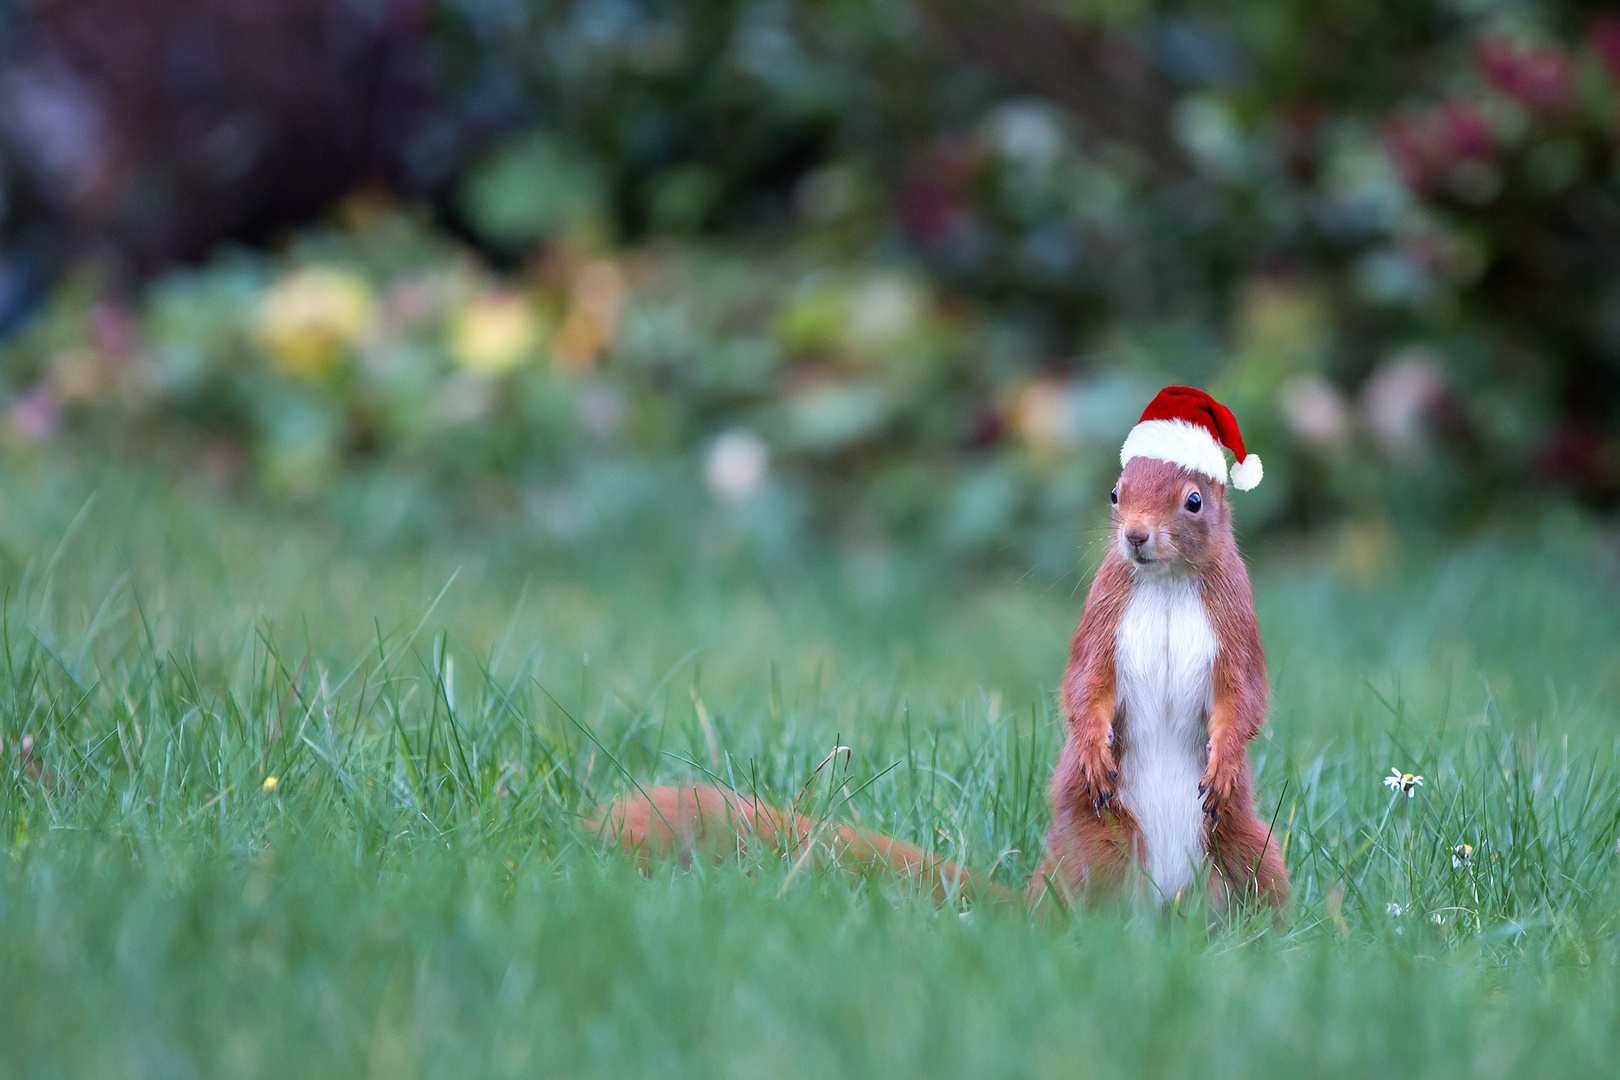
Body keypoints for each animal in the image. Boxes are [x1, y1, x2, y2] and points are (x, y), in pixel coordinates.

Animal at [596, 386, 1289, 913]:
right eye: (1115, 494)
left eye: (1193, 500)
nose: (1137, 537)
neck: (1165, 587)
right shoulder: (1104, 615)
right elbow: (1085, 684)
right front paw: (1093, 748)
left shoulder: (1235, 621)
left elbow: (1244, 697)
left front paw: (1226, 760)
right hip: (1099, 844)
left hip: (1247, 846)